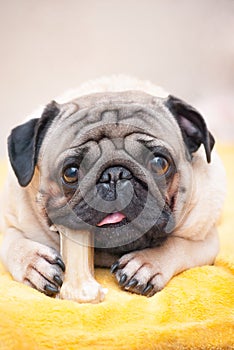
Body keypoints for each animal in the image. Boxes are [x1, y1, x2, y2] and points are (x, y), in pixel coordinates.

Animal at [0, 77, 227, 298]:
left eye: (160, 163)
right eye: (71, 172)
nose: (114, 175)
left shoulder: (206, 239)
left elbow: (177, 245)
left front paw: (145, 263)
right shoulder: (12, 225)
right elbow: (13, 243)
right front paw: (34, 263)